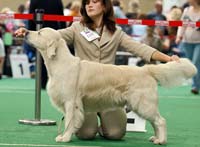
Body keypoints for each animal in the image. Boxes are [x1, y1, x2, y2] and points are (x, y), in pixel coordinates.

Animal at [24, 27, 197, 145]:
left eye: (39, 33)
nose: (25, 32)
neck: (60, 63)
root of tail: (146, 69)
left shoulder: (71, 102)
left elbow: (69, 122)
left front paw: (65, 137)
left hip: (144, 103)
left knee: (161, 121)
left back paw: (161, 140)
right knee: (156, 122)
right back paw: (156, 138)